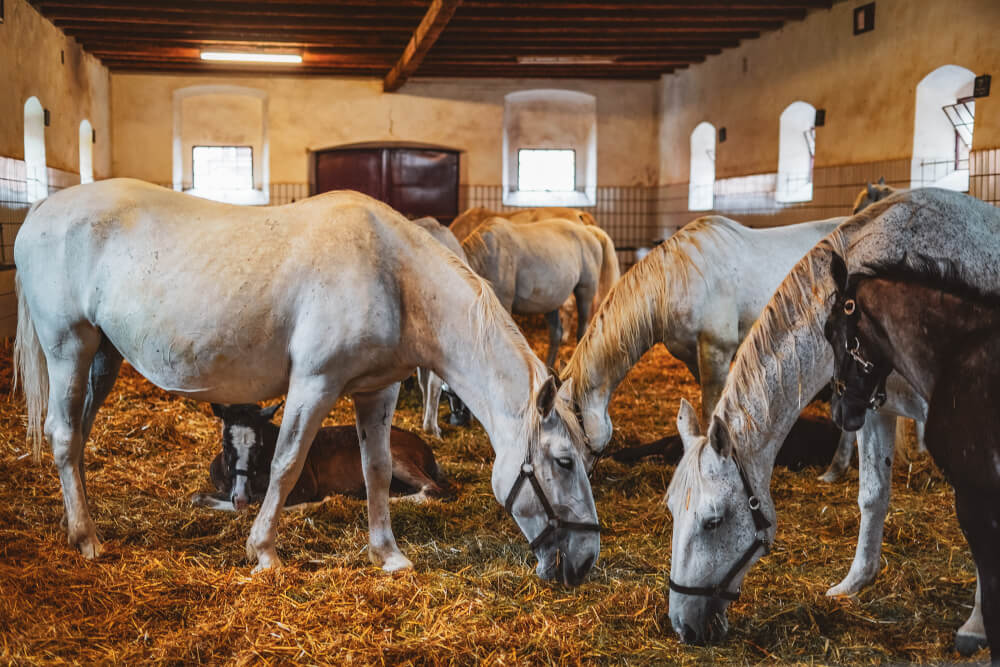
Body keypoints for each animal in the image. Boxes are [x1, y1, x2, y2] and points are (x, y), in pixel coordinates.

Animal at [191, 402, 450, 512]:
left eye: (259, 445)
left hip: (396, 459)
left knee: (432, 489)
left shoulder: (305, 485)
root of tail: (425, 448)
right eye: (225, 444)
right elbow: (199, 496)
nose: (241, 497)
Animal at [460, 217, 616, 368]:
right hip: (551, 303)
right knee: (556, 334)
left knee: (582, 331)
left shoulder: (503, 304)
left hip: (585, 293)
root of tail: (588, 231)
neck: (486, 255)